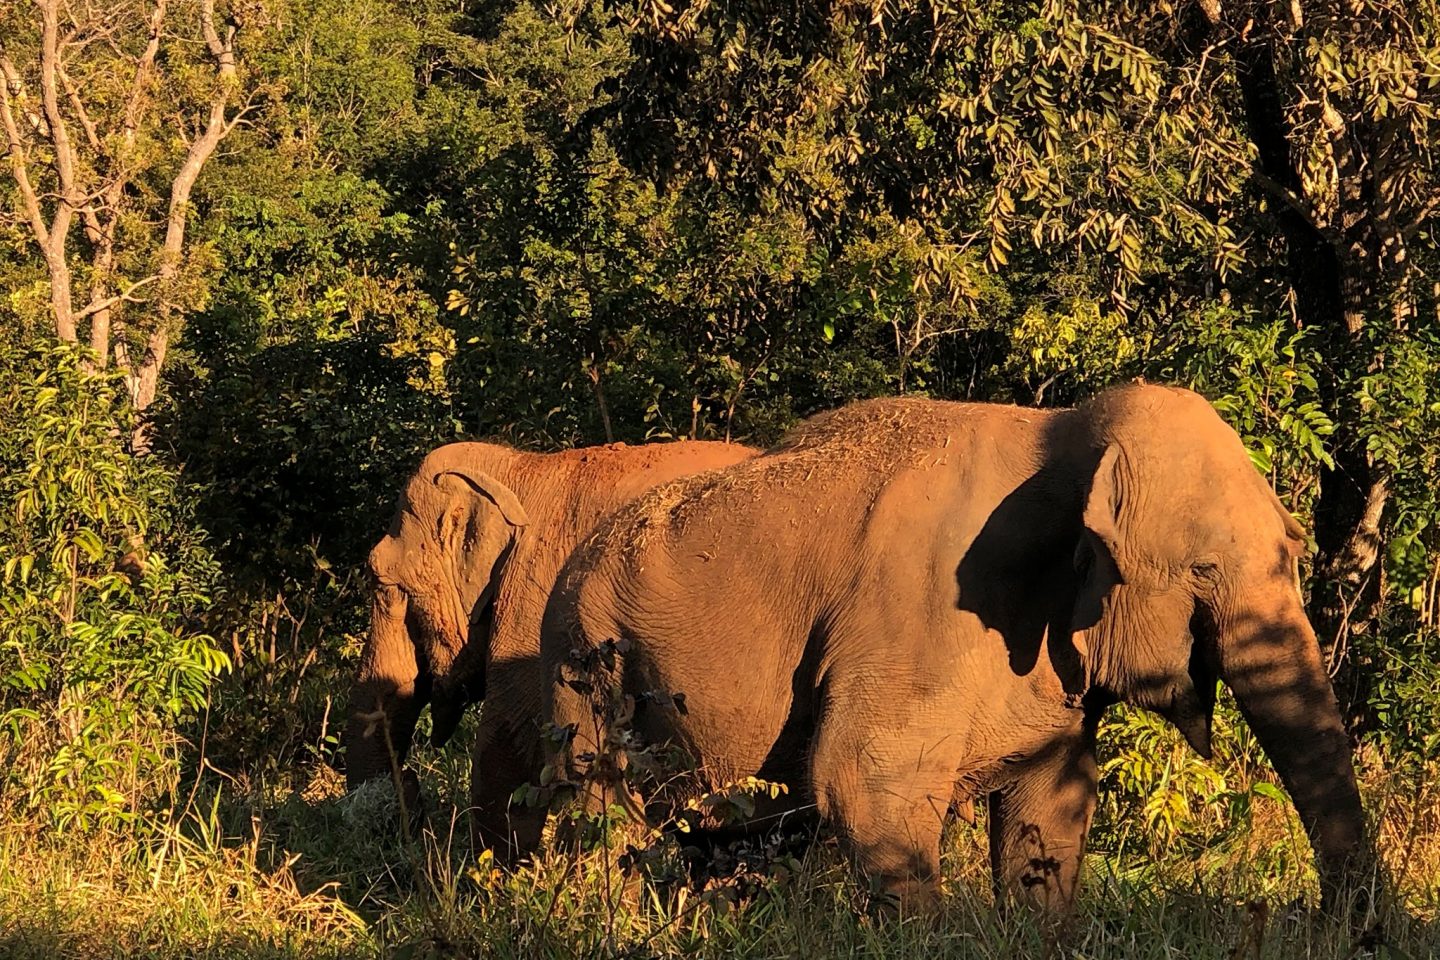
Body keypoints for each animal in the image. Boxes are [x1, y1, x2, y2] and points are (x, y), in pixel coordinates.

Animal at [345, 438, 756, 859]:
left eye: (381, 582)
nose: (410, 789)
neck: (518, 470)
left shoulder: (537, 595)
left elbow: (511, 739)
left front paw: (492, 871)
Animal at [541, 383, 1369, 913]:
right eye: (1203, 571)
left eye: (1291, 551)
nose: (1333, 921)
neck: (1062, 431)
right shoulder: (913, 612)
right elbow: (866, 782)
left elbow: (1050, 803)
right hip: (581, 668)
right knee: (597, 810)